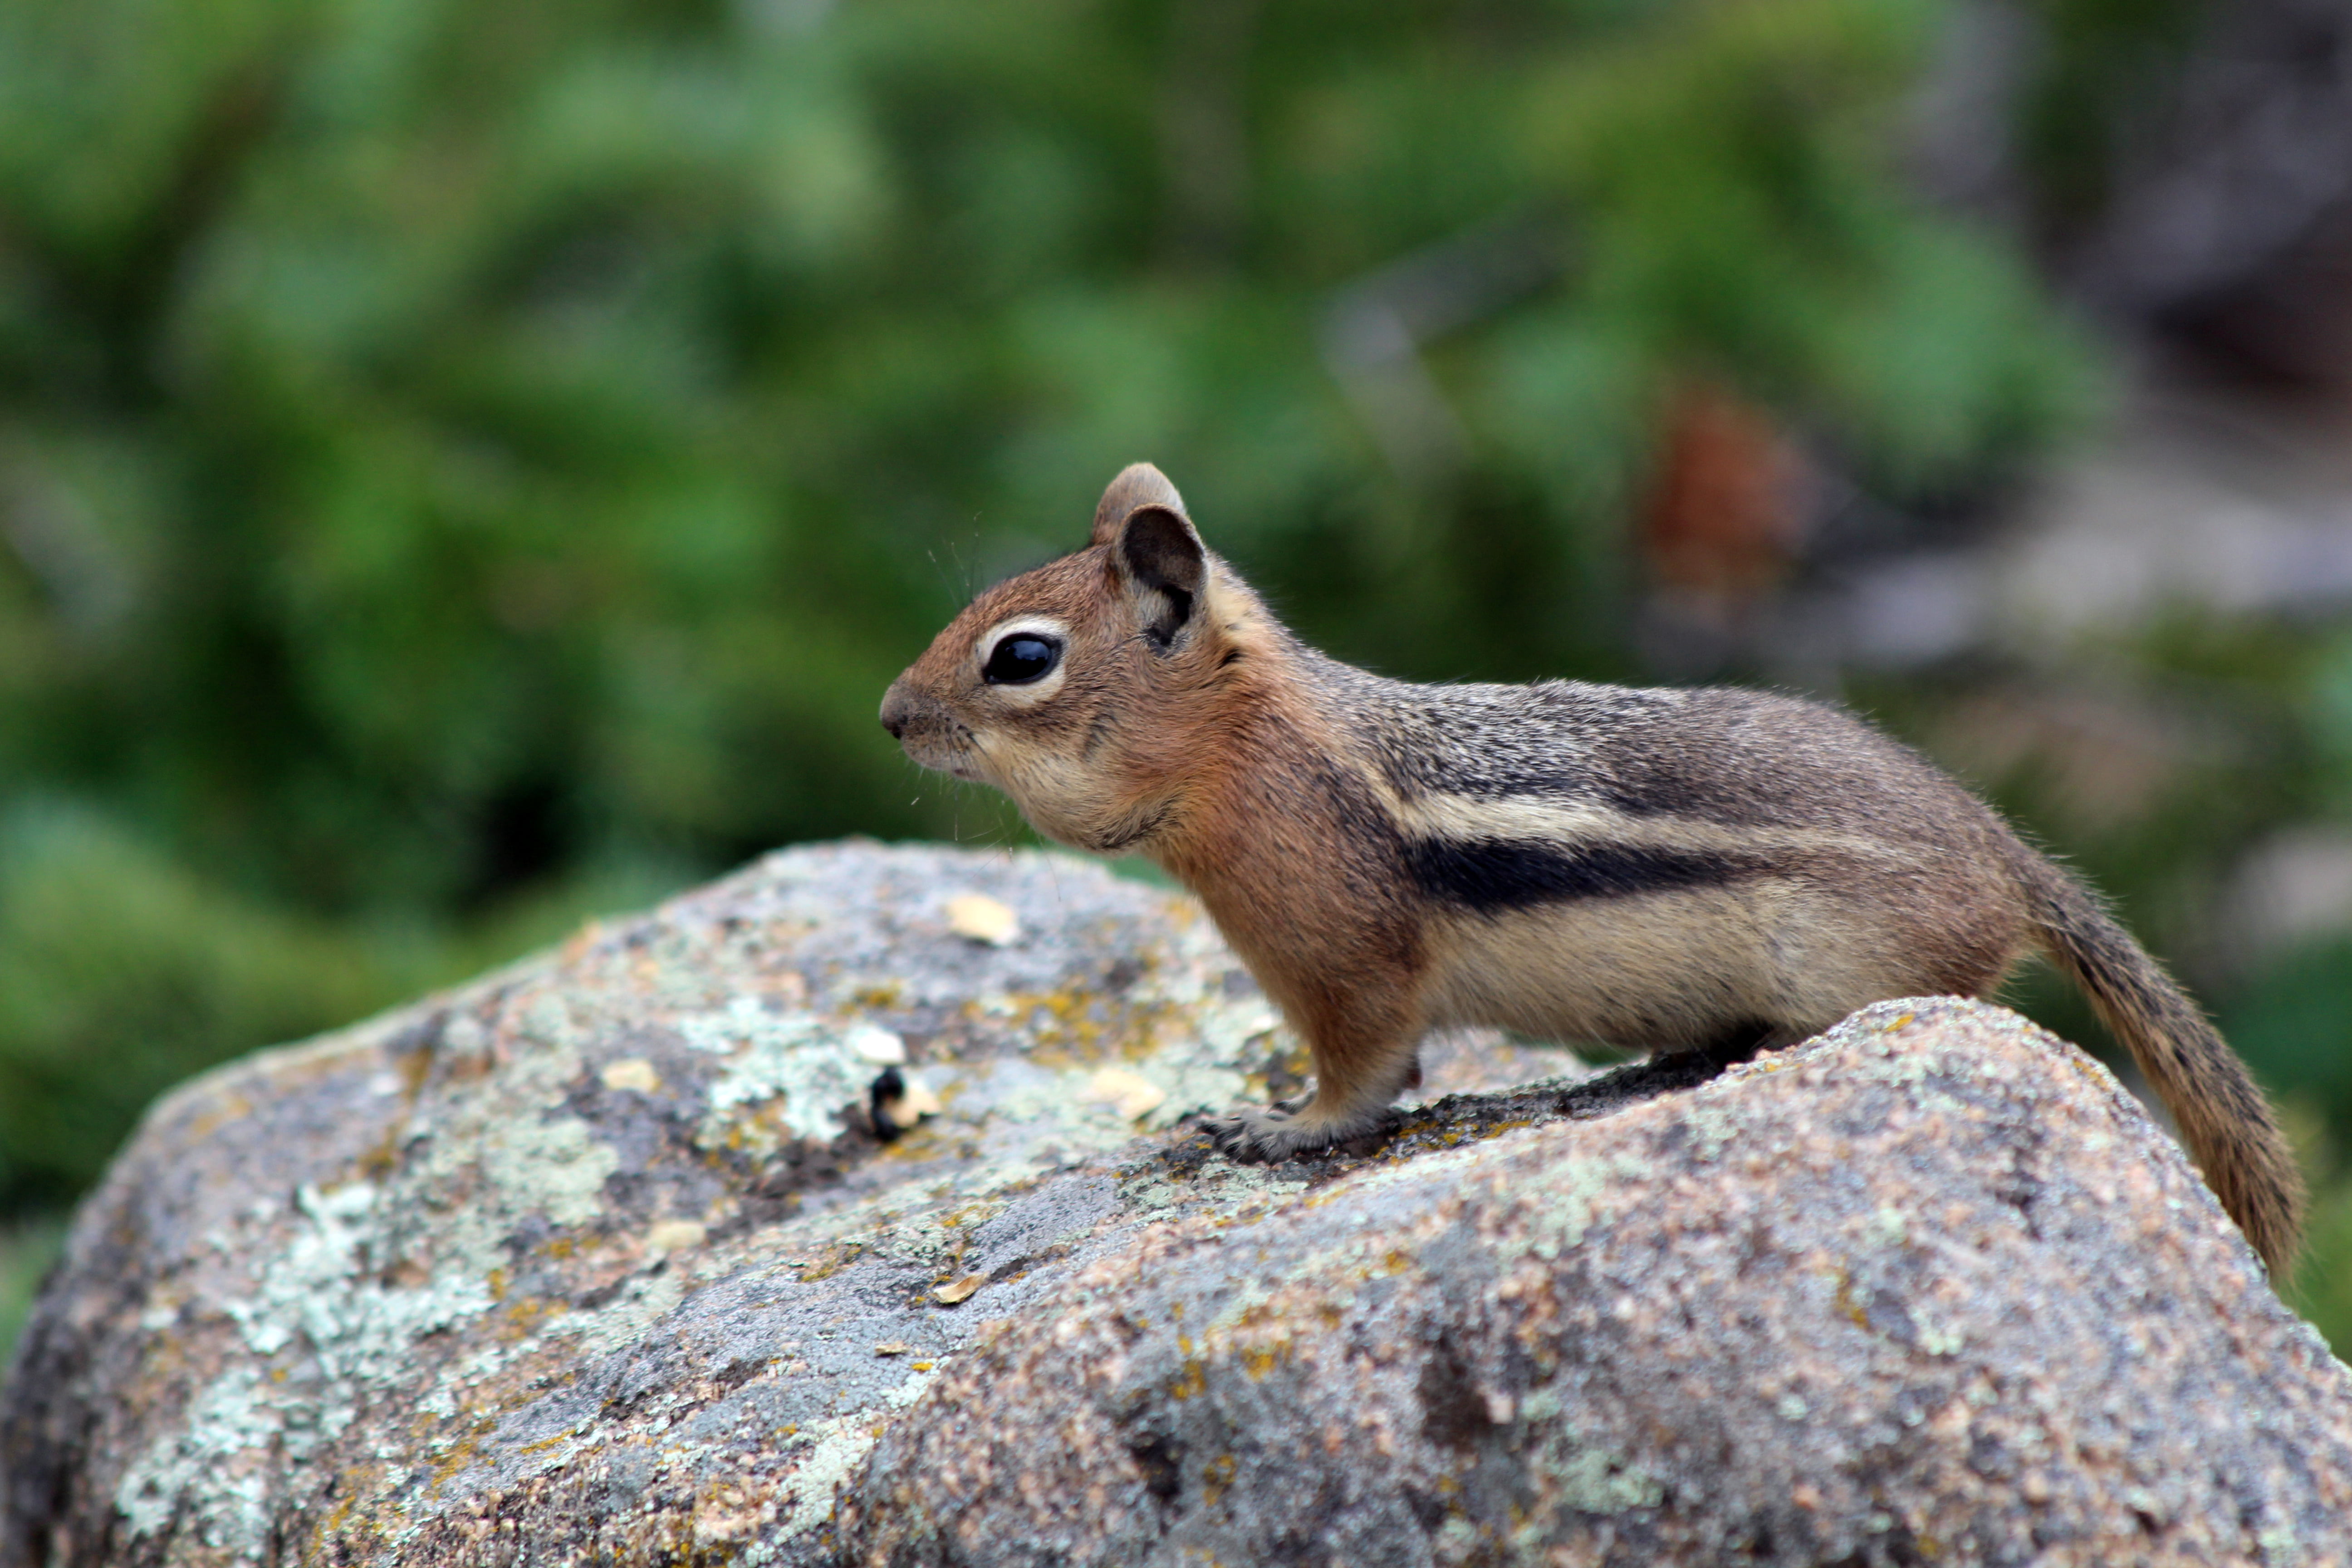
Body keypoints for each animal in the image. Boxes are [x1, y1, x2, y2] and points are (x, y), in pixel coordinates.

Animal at [880, 463, 2305, 1273]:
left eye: (1020, 657)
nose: (892, 717)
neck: (1254, 748)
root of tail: (2006, 852)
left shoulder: (1343, 952)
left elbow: (1365, 1071)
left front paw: (1273, 1125)